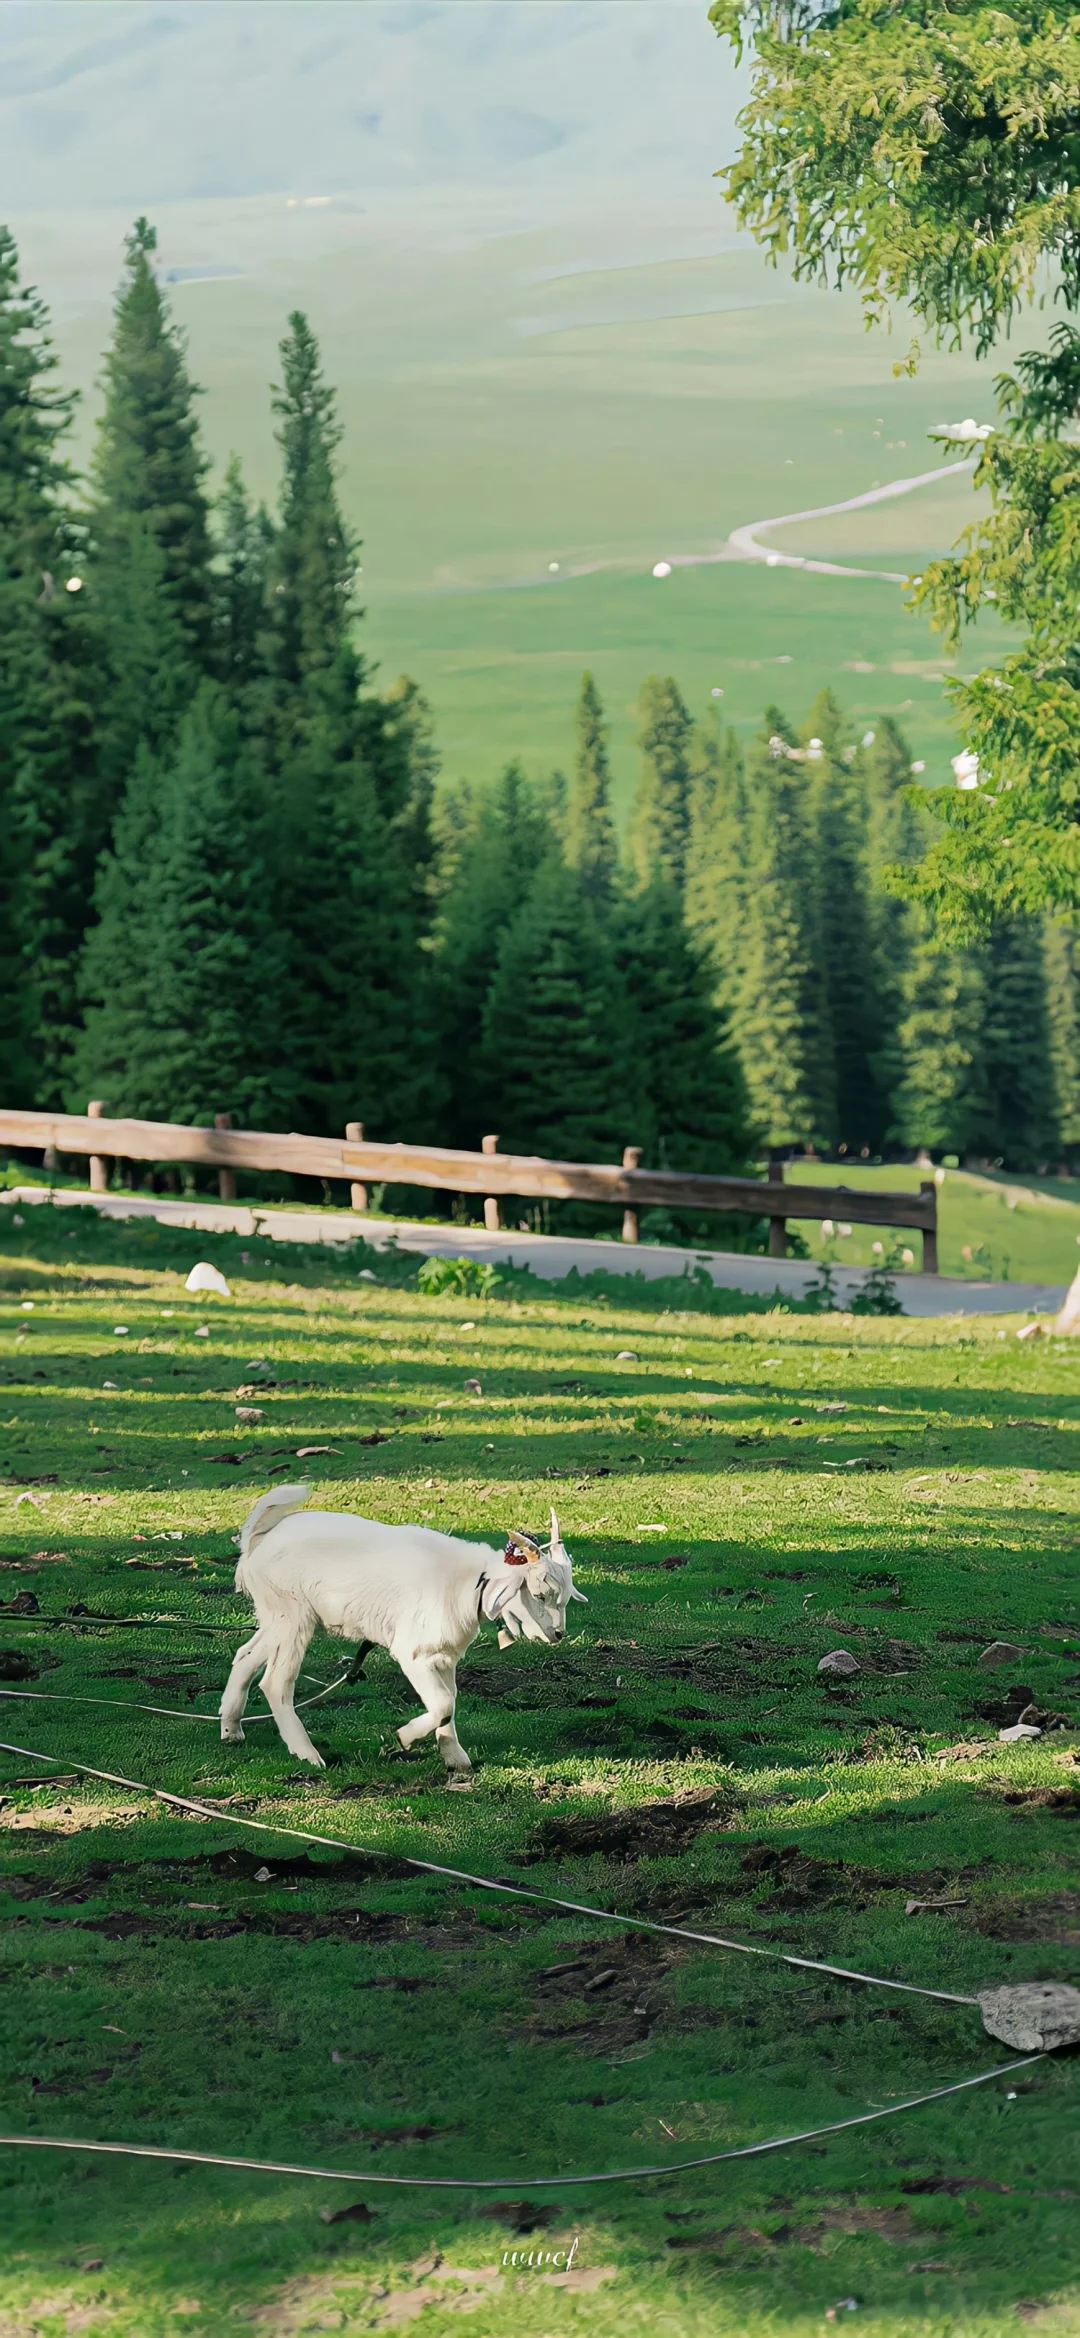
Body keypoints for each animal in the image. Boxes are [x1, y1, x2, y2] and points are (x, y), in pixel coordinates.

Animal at [219, 1477, 586, 1767]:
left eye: (565, 1598)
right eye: (538, 1594)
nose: (557, 1634)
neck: (470, 1584)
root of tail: (257, 1542)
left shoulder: (444, 1657)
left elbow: (449, 1703)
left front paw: (455, 1759)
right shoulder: (414, 1653)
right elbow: (443, 1704)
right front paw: (406, 1737)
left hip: (276, 1616)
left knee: (245, 1656)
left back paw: (231, 1729)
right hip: (292, 1616)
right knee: (276, 1682)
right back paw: (307, 1754)